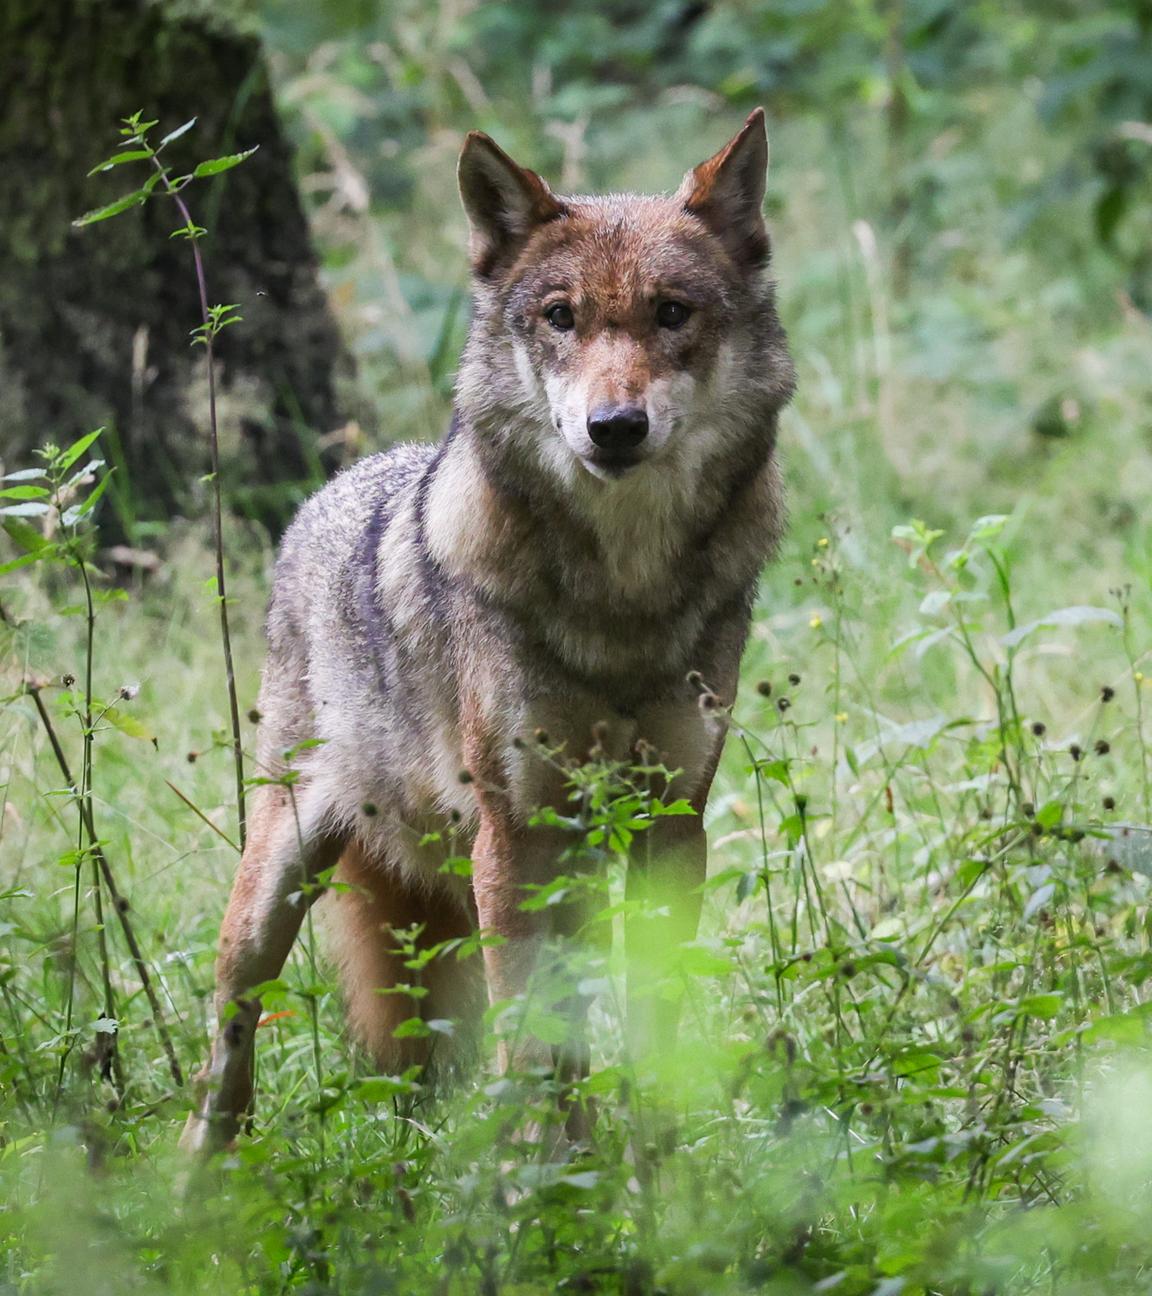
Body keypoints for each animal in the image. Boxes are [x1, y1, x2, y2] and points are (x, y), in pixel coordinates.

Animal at [180, 108, 795, 1156]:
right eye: (560, 317)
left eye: (672, 313)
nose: (614, 427)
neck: (622, 597)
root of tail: (328, 492)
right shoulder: (515, 835)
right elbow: (530, 1038)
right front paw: (540, 1178)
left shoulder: (672, 825)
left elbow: (651, 1024)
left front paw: (658, 1171)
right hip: (276, 888)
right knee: (228, 1043)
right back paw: (198, 1178)